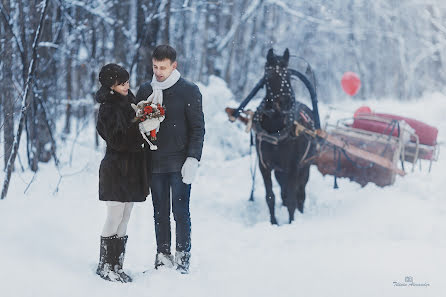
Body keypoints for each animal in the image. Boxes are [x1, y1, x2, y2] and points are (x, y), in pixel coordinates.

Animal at [254, 48, 318, 223]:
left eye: (288, 75)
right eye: (269, 75)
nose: (286, 102)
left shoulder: (294, 166)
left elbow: (292, 198)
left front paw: (291, 222)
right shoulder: (264, 166)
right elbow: (270, 196)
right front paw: (273, 222)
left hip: (305, 166)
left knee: (300, 192)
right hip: (280, 171)